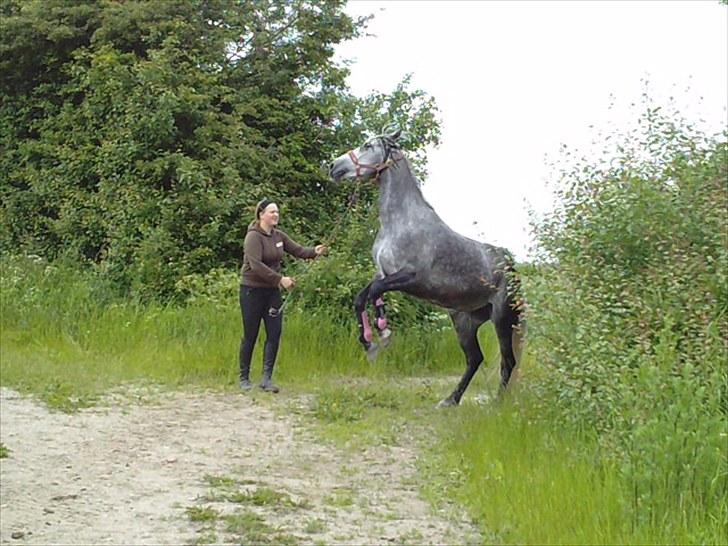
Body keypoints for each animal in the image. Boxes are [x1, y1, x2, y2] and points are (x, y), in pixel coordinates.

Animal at [328, 127, 524, 404]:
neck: (401, 222)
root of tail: (510, 265)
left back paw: (497, 404)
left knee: (507, 361)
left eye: (367, 146)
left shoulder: (410, 277)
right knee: (475, 359)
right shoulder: (383, 273)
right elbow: (363, 297)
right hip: (464, 321)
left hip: (502, 319)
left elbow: (375, 291)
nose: (334, 167)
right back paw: (450, 401)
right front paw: (369, 343)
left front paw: (383, 335)